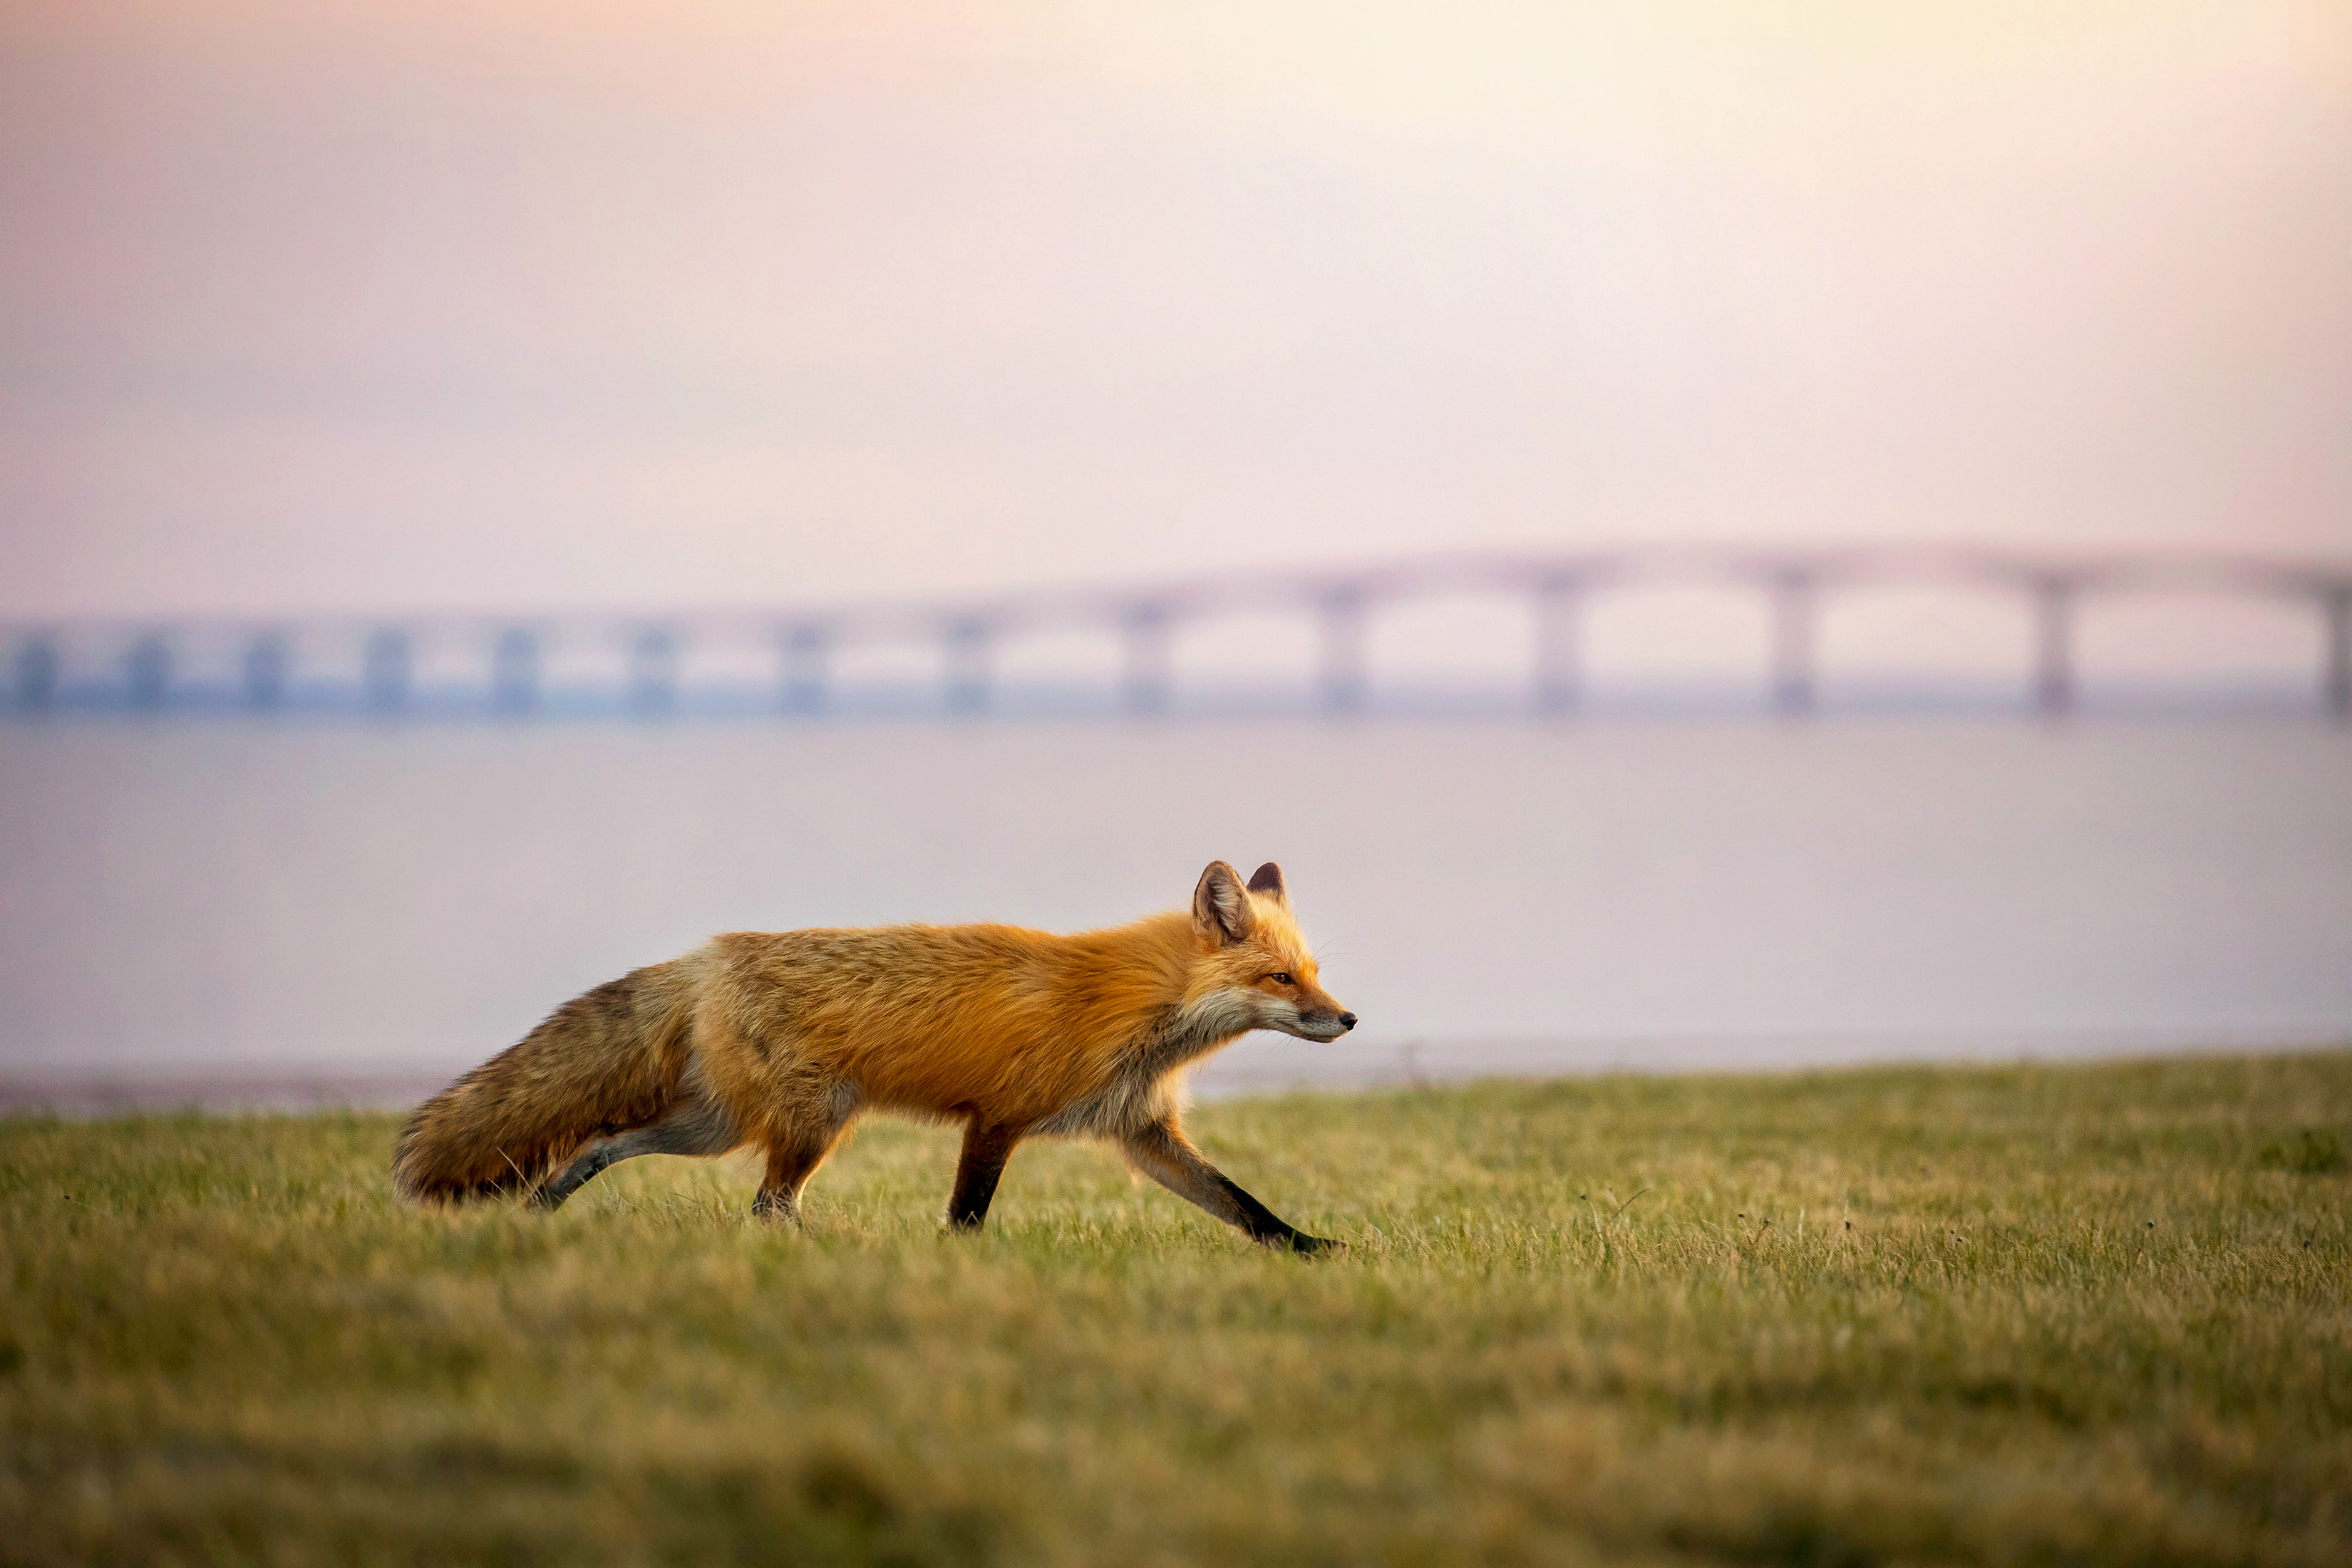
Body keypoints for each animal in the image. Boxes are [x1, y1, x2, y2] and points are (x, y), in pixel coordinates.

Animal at [395, 865, 1364, 1259]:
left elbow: (1244, 1207)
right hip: (810, 1122)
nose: (1348, 1018)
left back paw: (540, 1207)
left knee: (604, 1142)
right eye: (1281, 978)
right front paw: (956, 1266)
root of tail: (709, 955)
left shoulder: (1140, 1132)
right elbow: (968, 1214)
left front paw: (1313, 1251)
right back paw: (837, 1250)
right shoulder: (998, 1118)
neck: (1131, 1006)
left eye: (1314, 970)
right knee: (768, 1205)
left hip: (715, 1123)